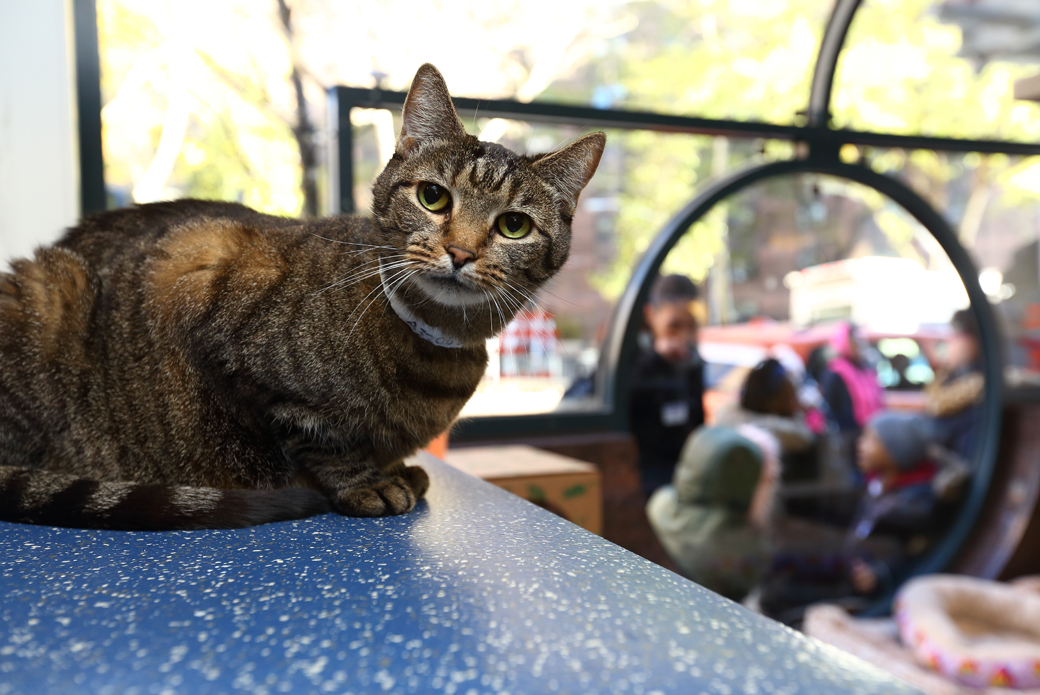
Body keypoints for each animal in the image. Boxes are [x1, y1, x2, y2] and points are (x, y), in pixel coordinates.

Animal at [0, 65, 607, 532]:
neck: (434, 345)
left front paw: (397, 469)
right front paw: (367, 482)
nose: (460, 251)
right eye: (433, 197)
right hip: (46, 289)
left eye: (513, 226)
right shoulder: (210, 289)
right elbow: (319, 437)